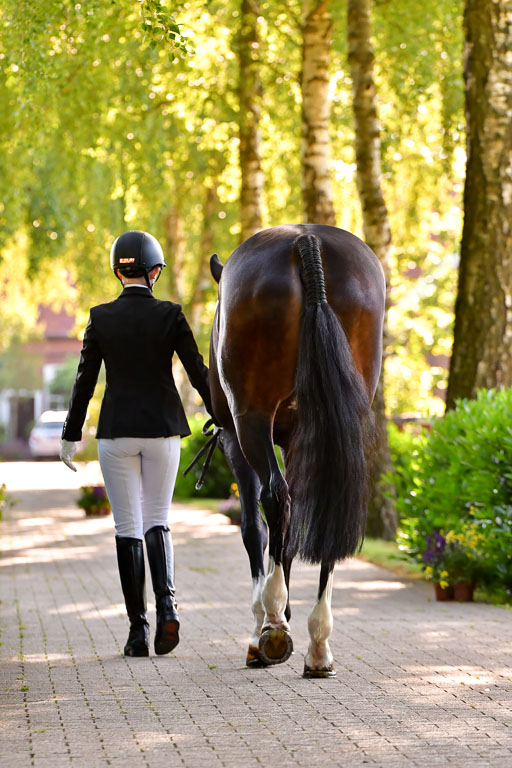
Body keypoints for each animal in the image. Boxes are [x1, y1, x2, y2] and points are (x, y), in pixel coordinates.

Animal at [208, 223, 385, 677]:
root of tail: (307, 240)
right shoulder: (295, 440)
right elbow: (287, 536)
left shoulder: (235, 440)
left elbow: (256, 528)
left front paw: (266, 621)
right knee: (322, 507)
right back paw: (318, 644)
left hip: (250, 420)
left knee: (275, 500)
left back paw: (272, 625)